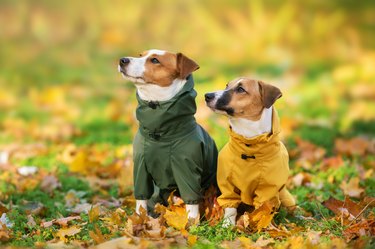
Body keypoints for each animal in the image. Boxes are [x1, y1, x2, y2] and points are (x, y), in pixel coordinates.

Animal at [119, 49, 219, 220]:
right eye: (140, 55)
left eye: (155, 60)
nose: (122, 60)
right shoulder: (140, 166)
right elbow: (141, 198)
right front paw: (139, 218)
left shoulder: (187, 169)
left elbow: (191, 202)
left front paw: (192, 223)